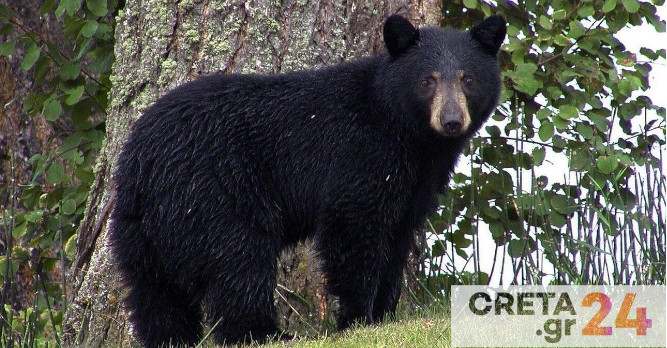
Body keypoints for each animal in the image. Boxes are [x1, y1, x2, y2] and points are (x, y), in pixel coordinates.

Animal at [111, 12, 506, 346]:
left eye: (468, 79)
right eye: (427, 81)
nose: (452, 121)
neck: (407, 133)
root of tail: (141, 160)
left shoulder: (417, 182)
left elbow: (397, 238)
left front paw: (385, 316)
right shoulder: (360, 155)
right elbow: (353, 228)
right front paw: (358, 320)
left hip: (140, 228)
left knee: (154, 291)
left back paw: (171, 337)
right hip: (215, 192)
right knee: (239, 261)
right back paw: (266, 333)